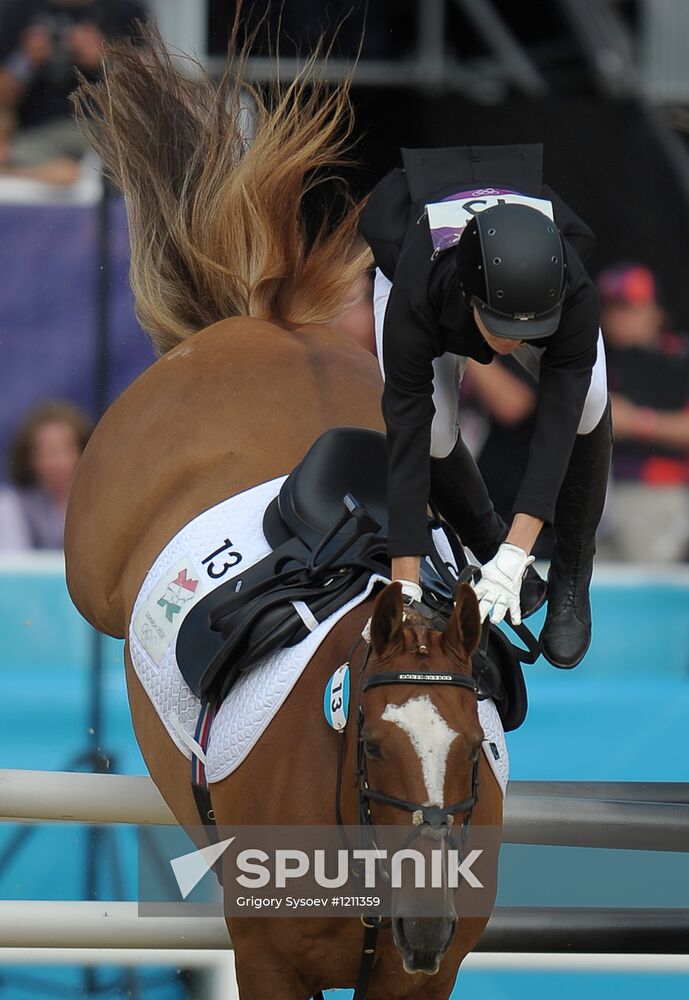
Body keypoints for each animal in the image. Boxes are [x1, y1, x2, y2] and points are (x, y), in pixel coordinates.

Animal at [63, 23, 500, 1000]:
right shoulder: (265, 959)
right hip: (86, 572)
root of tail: (258, 320)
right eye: (371, 747)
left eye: (469, 750)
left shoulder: (421, 979)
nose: (425, 923)